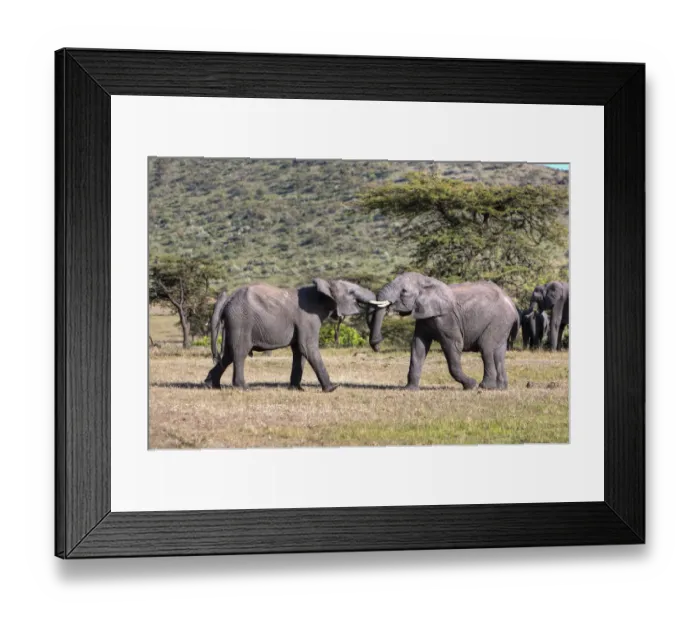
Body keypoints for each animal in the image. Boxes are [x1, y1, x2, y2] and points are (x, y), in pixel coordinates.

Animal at [203, 279, 376, 392]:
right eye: (351, 292)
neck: (322, 288)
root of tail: (227, 298)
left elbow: (299, 351)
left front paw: (297, 389)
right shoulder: (308, 318)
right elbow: (307, 347)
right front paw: (332, 388)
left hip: (235, 322)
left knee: (228, 354)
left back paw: (212, 385)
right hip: (241, 321)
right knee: (239, 352)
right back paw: (244, 388)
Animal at [368, 272, 519, 390]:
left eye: (404, 291)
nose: (377, 345)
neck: (426, 281)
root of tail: (512, 304)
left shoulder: (446, 317)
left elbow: (454, 345)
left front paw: (471, 385)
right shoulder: (424, 316)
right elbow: (418, 346)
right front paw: (409, 389)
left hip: (498, 321)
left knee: (486, 348)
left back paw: (484, 386)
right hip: (502, 324)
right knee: (498, 352)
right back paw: (500, 388)